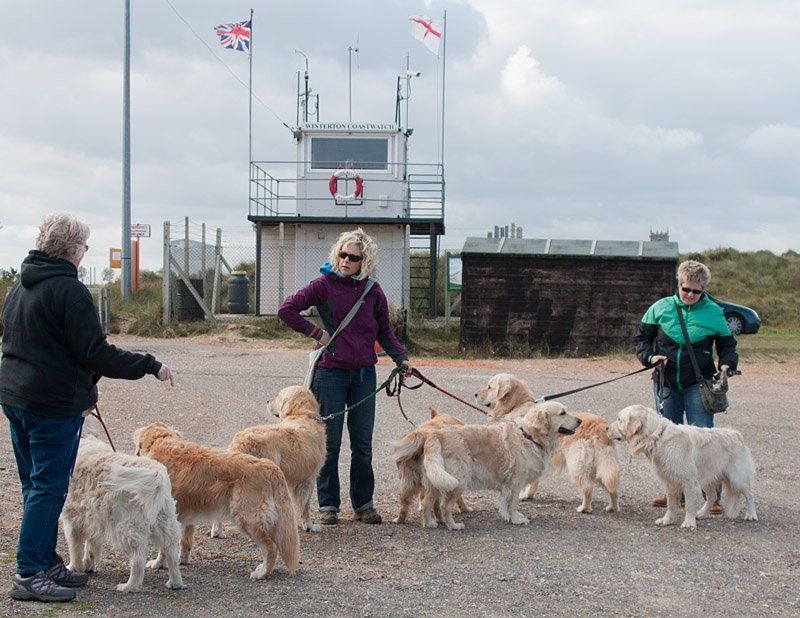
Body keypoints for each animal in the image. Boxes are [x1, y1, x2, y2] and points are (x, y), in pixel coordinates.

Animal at [61, 430, 184, 588]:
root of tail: (158, 476)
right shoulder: (92, 518)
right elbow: (91, 546)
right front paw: (88, 565)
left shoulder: (72, 520)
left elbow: (75, 549)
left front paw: (74, 568)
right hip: (165, 524)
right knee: (171, 552)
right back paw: (175, 582)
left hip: (126, 529)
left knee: (138, 558)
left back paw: (129, 586)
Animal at [133, 422, 298, 576]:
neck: (159, 441)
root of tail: (272, 468)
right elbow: (185, 541)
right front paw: (182, 560)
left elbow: (164, 548)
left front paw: (157, 564)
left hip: (246, 518)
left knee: (271, 547)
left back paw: (262, 573)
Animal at [418, 400, 580, 528]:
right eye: (562, 413)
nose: (580, 421)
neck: (529, 436)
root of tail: (436, 435)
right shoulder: (515, 483)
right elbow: (513, 504)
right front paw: (516, 519)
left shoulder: (508, 485)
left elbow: (507, 504)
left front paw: (512, 517)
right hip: (456, 481)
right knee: (444, 506)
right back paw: (453, 525)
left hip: (438, 480)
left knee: (426, 503)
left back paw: (429, 524)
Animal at [608, 402, 760, 528]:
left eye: (619, 419)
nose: (607, 428)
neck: (656, 436)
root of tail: (736, 434)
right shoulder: (669, 481)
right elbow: (670, 504)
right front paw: (667, 520)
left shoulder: (689, 481)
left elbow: (688, 505)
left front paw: (688, 522)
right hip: (707, 478)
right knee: (711, 497)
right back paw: (701, 514)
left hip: (737, 477)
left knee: (749, 494)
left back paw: (751, 515)